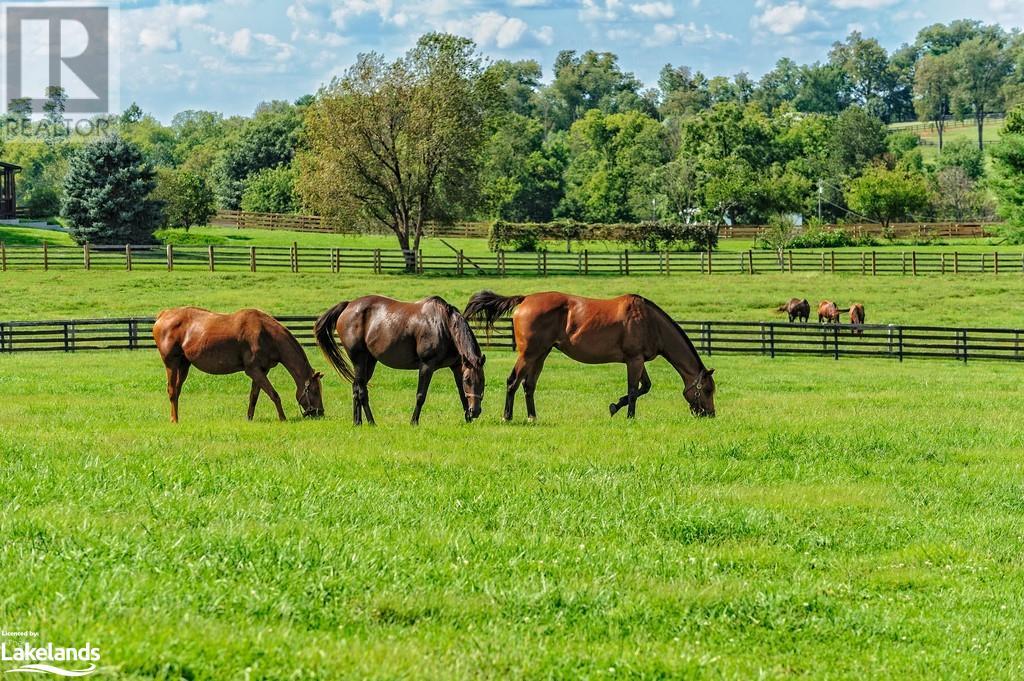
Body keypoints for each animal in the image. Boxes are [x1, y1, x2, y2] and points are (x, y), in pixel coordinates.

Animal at [151, 307, 323, 421]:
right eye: (314, 391)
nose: (320, 412)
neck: (267, 334)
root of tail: (163, 315)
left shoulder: (261, 371)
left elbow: (254, 396)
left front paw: (249, 418)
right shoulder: (253, 370)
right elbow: (274, 394)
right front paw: (282, 418)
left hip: (184, 365)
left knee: (177, 391)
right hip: (171, 364)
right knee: (172, 391)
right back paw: (174, 420)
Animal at [313, 292, 485, 421]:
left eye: (483, 381)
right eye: (468, 380)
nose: (475, 411)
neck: (444, 325)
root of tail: (348, 305)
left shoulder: (456, 366)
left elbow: (462, 395)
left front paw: (467, 421)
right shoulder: (426, 366)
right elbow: (420, 396)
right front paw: (414, 422)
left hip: (370, 361)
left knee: (356, 388)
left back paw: (357, 422)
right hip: (359, 360)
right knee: (362, 392)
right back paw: (371, 422)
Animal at [466, 290, 716, 419]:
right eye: (707, 390)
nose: (709, 414)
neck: (649, 321)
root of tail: (525, 298)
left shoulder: (638, 360)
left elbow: (644, 387)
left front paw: (615, 406)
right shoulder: (634, 360)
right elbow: (633, 390)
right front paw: (628, 416)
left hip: (541, 354)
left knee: (529, 385)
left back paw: (532, 416)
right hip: (528, 354)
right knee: (513, 382)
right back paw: (507, 416)